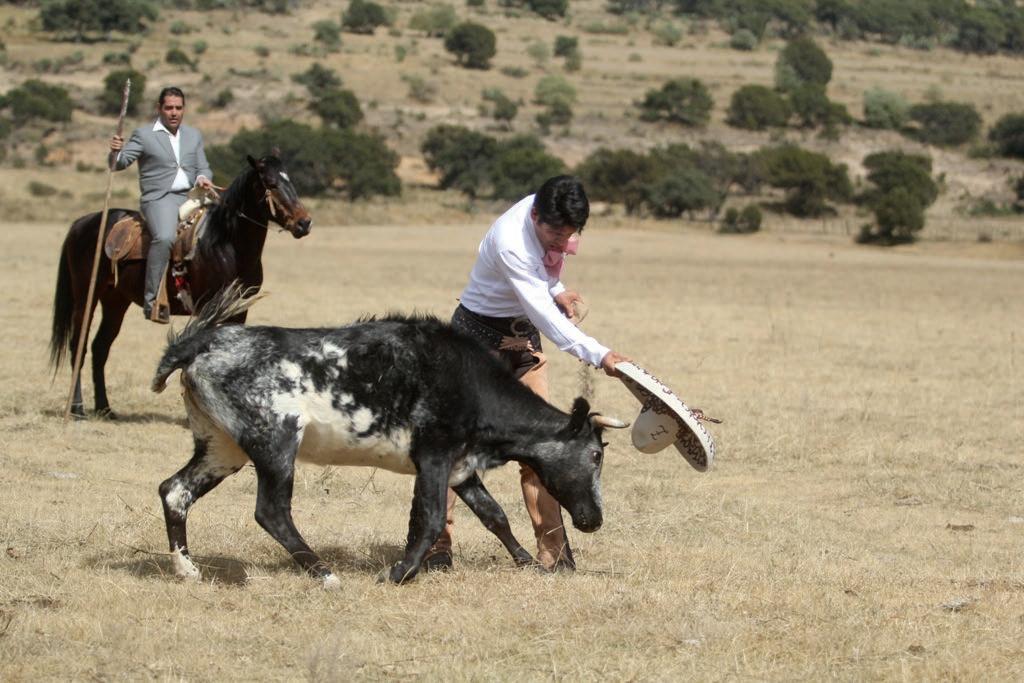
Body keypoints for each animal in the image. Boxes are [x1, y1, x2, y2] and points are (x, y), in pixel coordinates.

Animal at [49, 153, 313, 420]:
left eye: (290, 180)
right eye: (270, 183)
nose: (304, 223)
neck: (226, 245)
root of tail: (83, 222)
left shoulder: (239, 310)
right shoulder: (209, 309)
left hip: (115, 302)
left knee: (100, 347)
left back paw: (105, 408)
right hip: (86, 297)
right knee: (78, 347)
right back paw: (77, 408)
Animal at [151, 286, 628, 586]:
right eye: (595, 456)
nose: (594, 519)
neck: (471, 383)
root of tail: (202, 345)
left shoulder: (461, 467)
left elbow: (494, 516)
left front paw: (528, 564)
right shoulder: (433, 457)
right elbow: (429, 518)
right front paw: (398, 573)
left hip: (222, 447)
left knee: (175, 490)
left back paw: (187, 570)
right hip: (275, 443)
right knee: (271, 511)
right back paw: (324, 574)